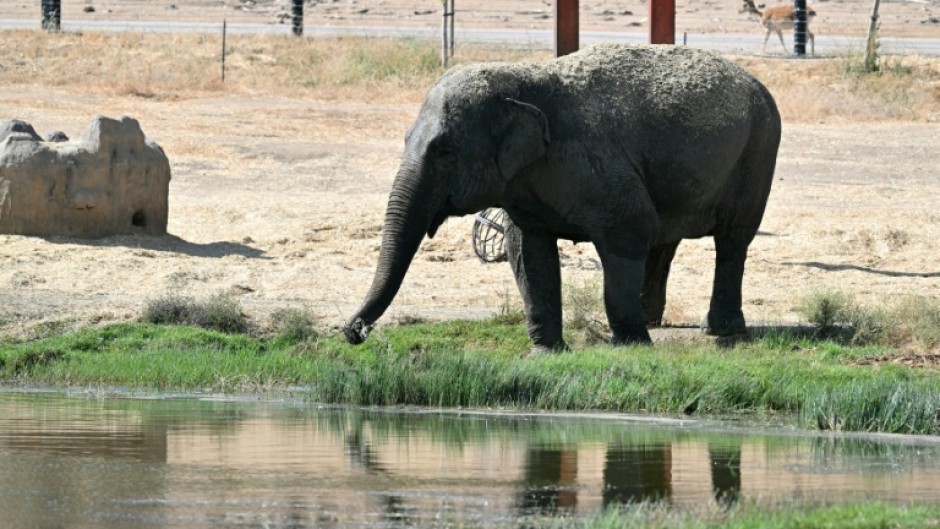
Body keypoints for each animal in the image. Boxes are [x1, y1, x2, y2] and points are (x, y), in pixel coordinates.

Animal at [344, 43, 781, 352]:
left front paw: (631, 347)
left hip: (759, 149)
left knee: (732, 239)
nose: (353, 331)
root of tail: (756, 81)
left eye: (443, 150)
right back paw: (655, 321)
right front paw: (545, 352)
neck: (523, 80)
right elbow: (527, 250)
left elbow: (630, 227)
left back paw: (718, 330)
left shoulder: (594, 160)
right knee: (666, 239)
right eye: (406, 140)